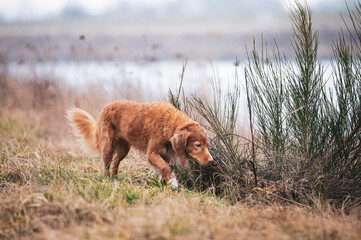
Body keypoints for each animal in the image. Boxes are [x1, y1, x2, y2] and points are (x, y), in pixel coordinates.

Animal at [66, 101, 212, 188]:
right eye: (198, 145)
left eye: (207, 145)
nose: (211, 160)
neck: (169, 124)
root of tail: (105, 108)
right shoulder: (151, 153)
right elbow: (166, 168)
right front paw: (173, 182)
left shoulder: (165, 155)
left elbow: (163, 168)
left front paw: (162, 182)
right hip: (108, 146)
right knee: (107, 164)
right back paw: (107, 179)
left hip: (124, 150)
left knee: (116, 161)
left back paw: (115, 178)